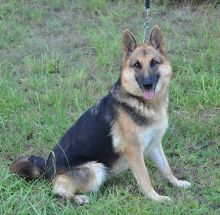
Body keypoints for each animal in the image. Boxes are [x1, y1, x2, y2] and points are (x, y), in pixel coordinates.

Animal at [11, 25, 191, 205]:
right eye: (137, 65)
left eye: (154, 63)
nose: (147, 84)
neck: (141, 102)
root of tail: (48, 168)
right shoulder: (134, 151)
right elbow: (145, 179)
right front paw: (156, 198)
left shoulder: (154, 145)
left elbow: (166, 168)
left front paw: (177, 183)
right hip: (95, 168)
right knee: (58, 190)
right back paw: (78, 198)